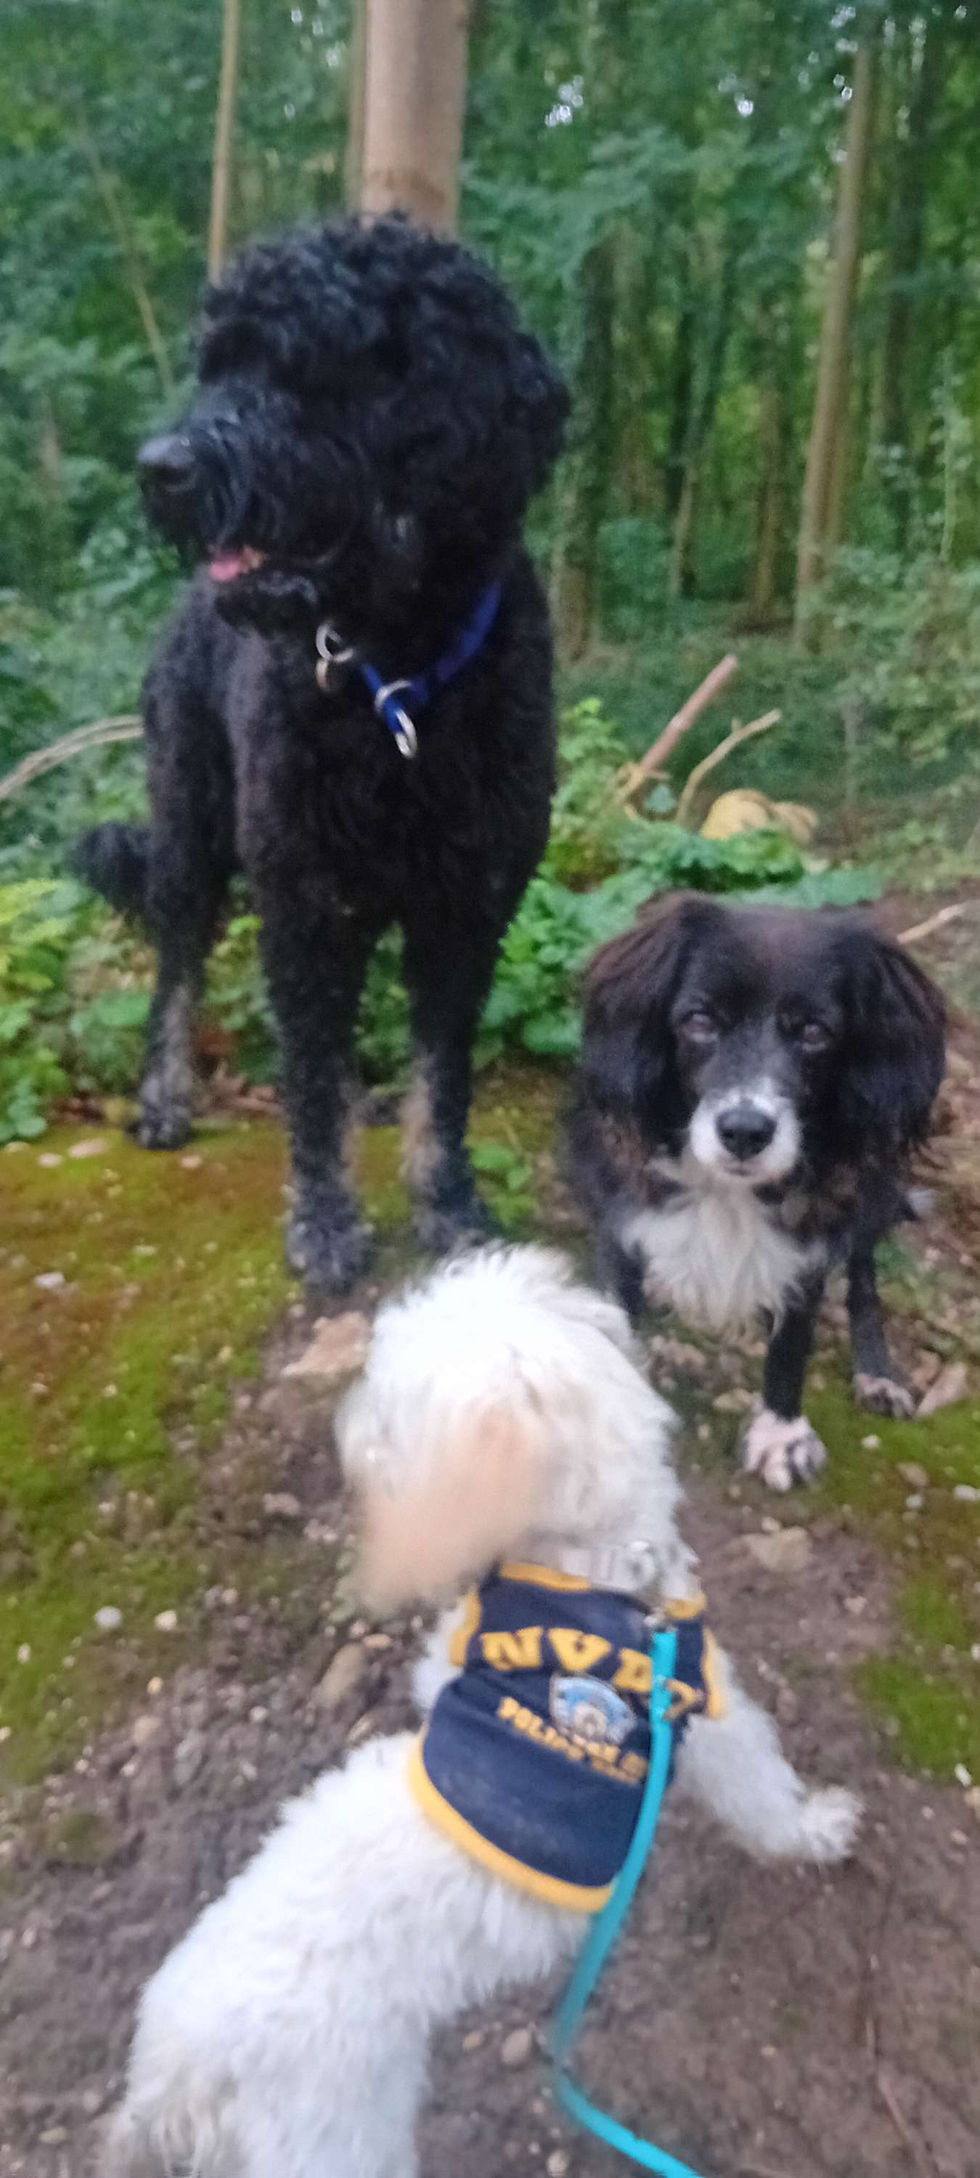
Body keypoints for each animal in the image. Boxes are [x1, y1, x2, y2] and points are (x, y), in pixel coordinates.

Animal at [75, 215, 567, 1293]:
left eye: (307, 370)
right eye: (217, 366)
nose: (159, 466)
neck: (397, 678)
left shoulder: (465, 906)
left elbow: (440, 1071)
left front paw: (445, 1201)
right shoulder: (301, 900)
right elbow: (303, 1076)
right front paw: (327, 1219)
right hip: (190, 830)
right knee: (178, 968)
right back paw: (165, 1098)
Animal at [104, 1246, 859, 2178]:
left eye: (387, 1402)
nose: (343, 1432)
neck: (597, 1565)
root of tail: (176, 2083)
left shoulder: (452, 1656)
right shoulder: (709, 1713)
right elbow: (764, 1795)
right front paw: (819, 1829)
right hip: (340, 2137)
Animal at [566, 894, 946, 1490]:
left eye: (815, 1032)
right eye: (699, 1020)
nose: (745, 1131)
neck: (726, 1191)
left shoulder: (812, 1235)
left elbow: (794, 1340)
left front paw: (780, 1434)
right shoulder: (621, 1223)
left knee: (864, 1279)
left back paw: (877, 1375)